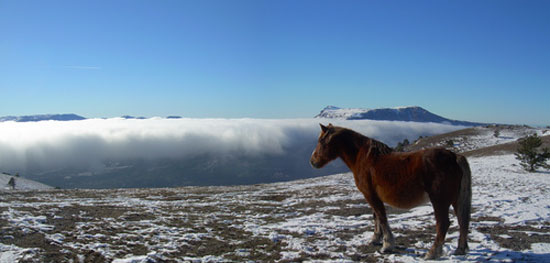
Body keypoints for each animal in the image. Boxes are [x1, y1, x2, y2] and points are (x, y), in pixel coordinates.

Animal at [312, 124, 472, 260]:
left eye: (321, 141)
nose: (312, 161)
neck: (363, 158)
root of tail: (454, 156)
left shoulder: (370, 195)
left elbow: (382, 217)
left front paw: (387, 245)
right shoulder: (373, 196)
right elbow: (376, 216)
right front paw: (376, 238)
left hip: (439, 201)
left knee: (443, 224)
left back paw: (432, 253)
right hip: (455, 200)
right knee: (462, 221)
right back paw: (460, 250)